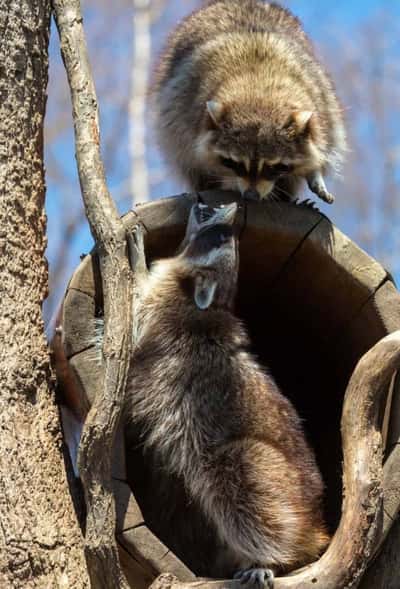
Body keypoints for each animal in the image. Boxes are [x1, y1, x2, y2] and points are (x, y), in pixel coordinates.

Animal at [124, 202, 328, 584]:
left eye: (218, 236)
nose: (208, 203)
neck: (212, 299)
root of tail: (314, 526)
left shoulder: (161, 319)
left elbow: (130, 325)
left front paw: (136, 261)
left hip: (257, 469)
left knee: (241, 487)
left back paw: (268, 557)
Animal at [152, 0, 346, 203]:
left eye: (275, 166)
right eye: (234, 163)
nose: (251, 195)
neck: (259, 92)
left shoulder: (321, 100)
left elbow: (321, 145)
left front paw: (315, 173)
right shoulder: (185, 108)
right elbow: (191, 154)